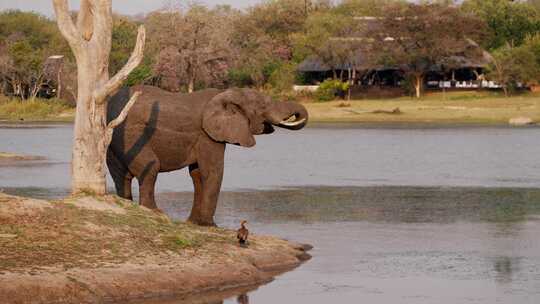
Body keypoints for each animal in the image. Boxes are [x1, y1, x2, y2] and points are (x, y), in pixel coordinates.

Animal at [106, 85, 308, 226]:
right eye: (264, 106)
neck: (227, 94)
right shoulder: (207, 134)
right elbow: (212, 171)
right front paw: (210, 225)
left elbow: (197, 174)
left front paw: (195, 223)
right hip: (131, 134)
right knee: (151, 166)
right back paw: (155, 212)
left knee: (121, 176)